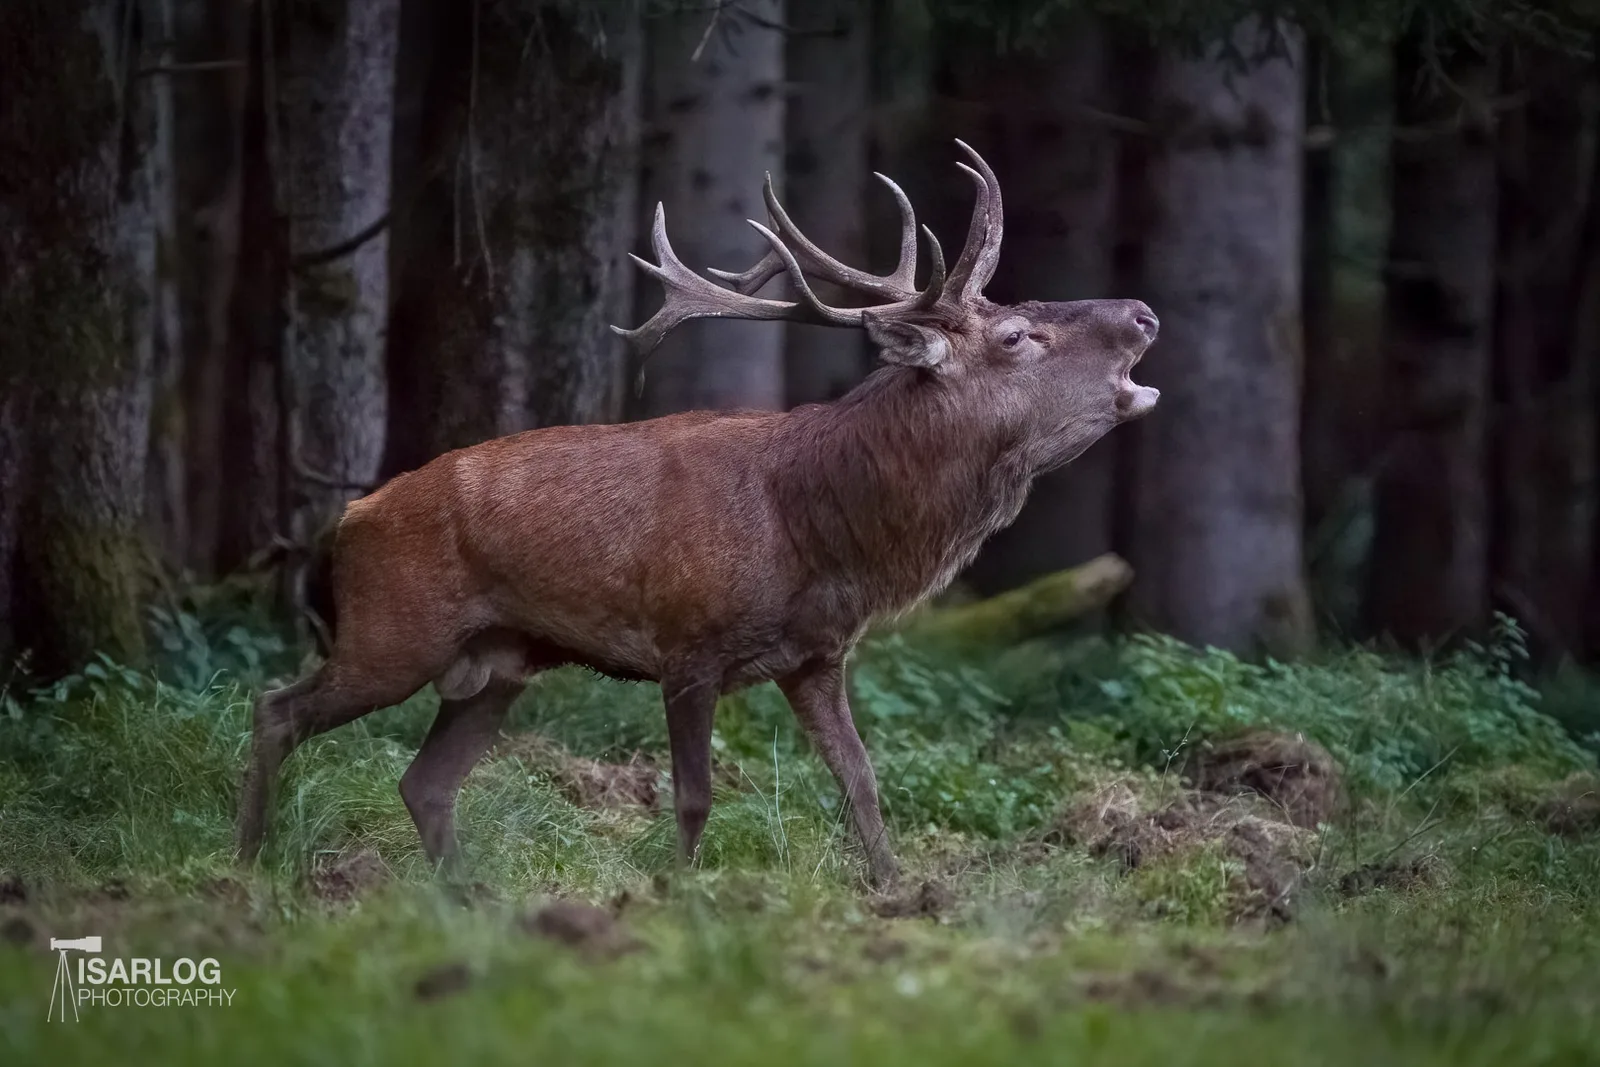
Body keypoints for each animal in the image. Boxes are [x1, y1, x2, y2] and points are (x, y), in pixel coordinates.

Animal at [233, 141, 1159, 890]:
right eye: (1016, 334)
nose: (1143, 313)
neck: (820, 533)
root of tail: (352, 516)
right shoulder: (687, 642)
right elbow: (693, 795)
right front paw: (676, 895)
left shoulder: (817, 656)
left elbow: (862, 782)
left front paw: (897, 893)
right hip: (394, 629)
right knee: (276, 707)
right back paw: (249, 863)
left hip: (496, 662)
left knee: (424, 780)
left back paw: (469, 895)